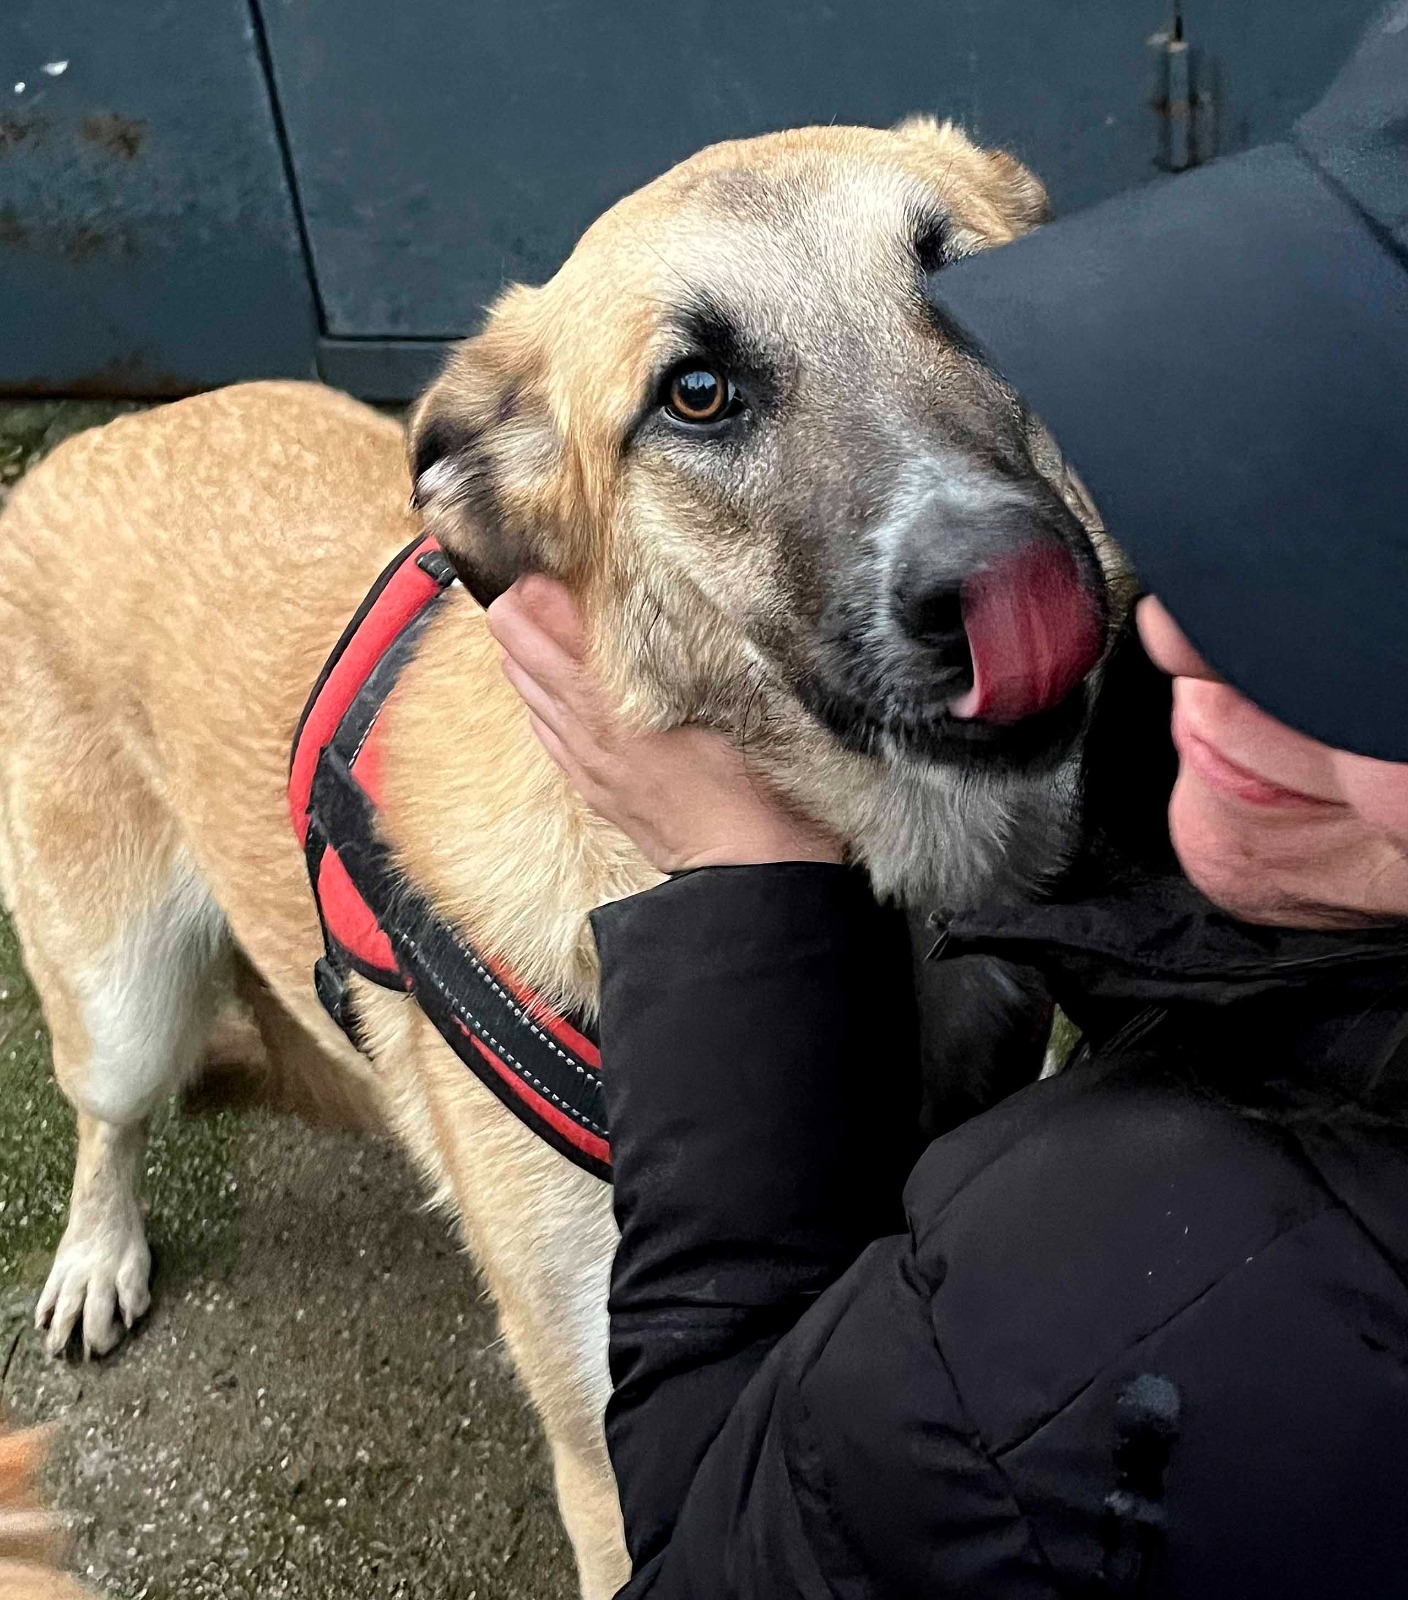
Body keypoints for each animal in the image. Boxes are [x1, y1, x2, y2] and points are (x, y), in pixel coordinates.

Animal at [0, 119, 1116, 1596]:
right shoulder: (617, 1461)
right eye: (695, 394)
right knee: (109, 1110)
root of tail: (92, 442)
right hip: (119, 993)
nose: (1003, 577)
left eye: (964, 285)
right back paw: (94, 1252)